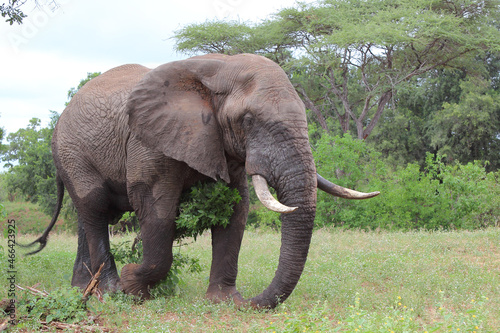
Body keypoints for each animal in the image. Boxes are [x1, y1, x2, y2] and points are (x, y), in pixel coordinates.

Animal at [29, 53, 376, 308]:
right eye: (248, 120)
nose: (250, 302)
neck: (220, 68)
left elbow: (236, 212)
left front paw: (224, 301)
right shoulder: (148, 143)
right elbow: (157, 209)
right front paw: (133, 287)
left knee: (88, 217)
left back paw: (83, 289)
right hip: (72, 154)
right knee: (95, 207)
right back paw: (110, 292)